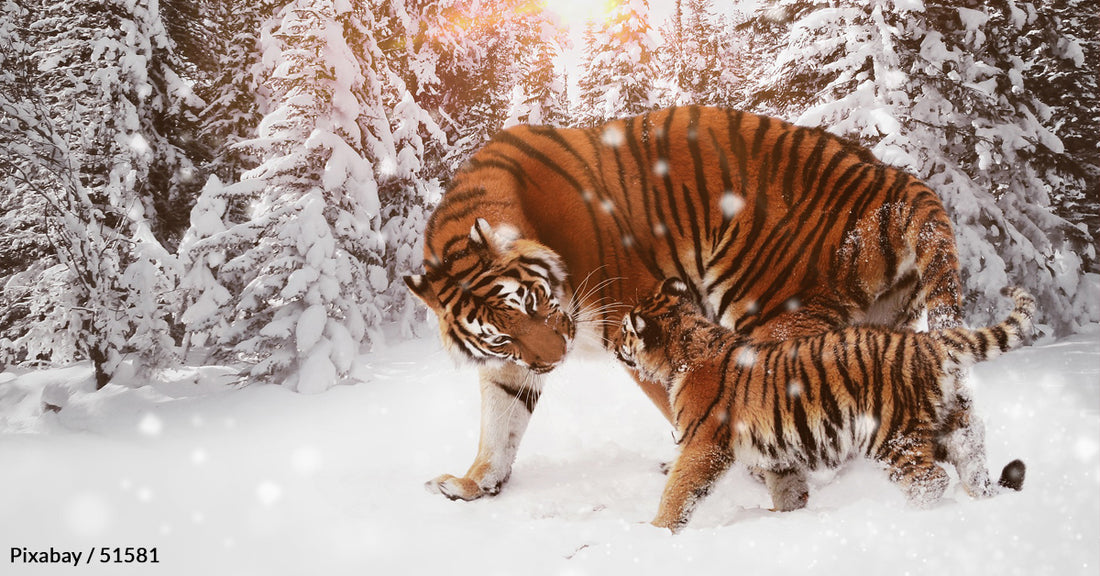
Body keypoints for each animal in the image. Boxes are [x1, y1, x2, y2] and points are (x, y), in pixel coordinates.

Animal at [404, 106, 965, 502]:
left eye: (535, 302)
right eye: (502, 335)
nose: (556, 358)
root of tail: (891, 178)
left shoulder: (632, 317)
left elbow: (676, 399)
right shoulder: (512, 363)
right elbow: (500, 422)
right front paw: (474, 484)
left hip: (767, 308)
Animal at [616, 277, 1032, 532]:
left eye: (624, 330)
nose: (616, 345)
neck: (684, 350)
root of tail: (927, 342)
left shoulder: (703, 444)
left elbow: (679, 490)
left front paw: (655, 531)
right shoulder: (777, 452)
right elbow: (788, 489)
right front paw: (783, 517)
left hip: (891, 435)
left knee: (930, 480)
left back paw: (908, 516)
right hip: (951, 425)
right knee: (972, 461)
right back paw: (985, 499)